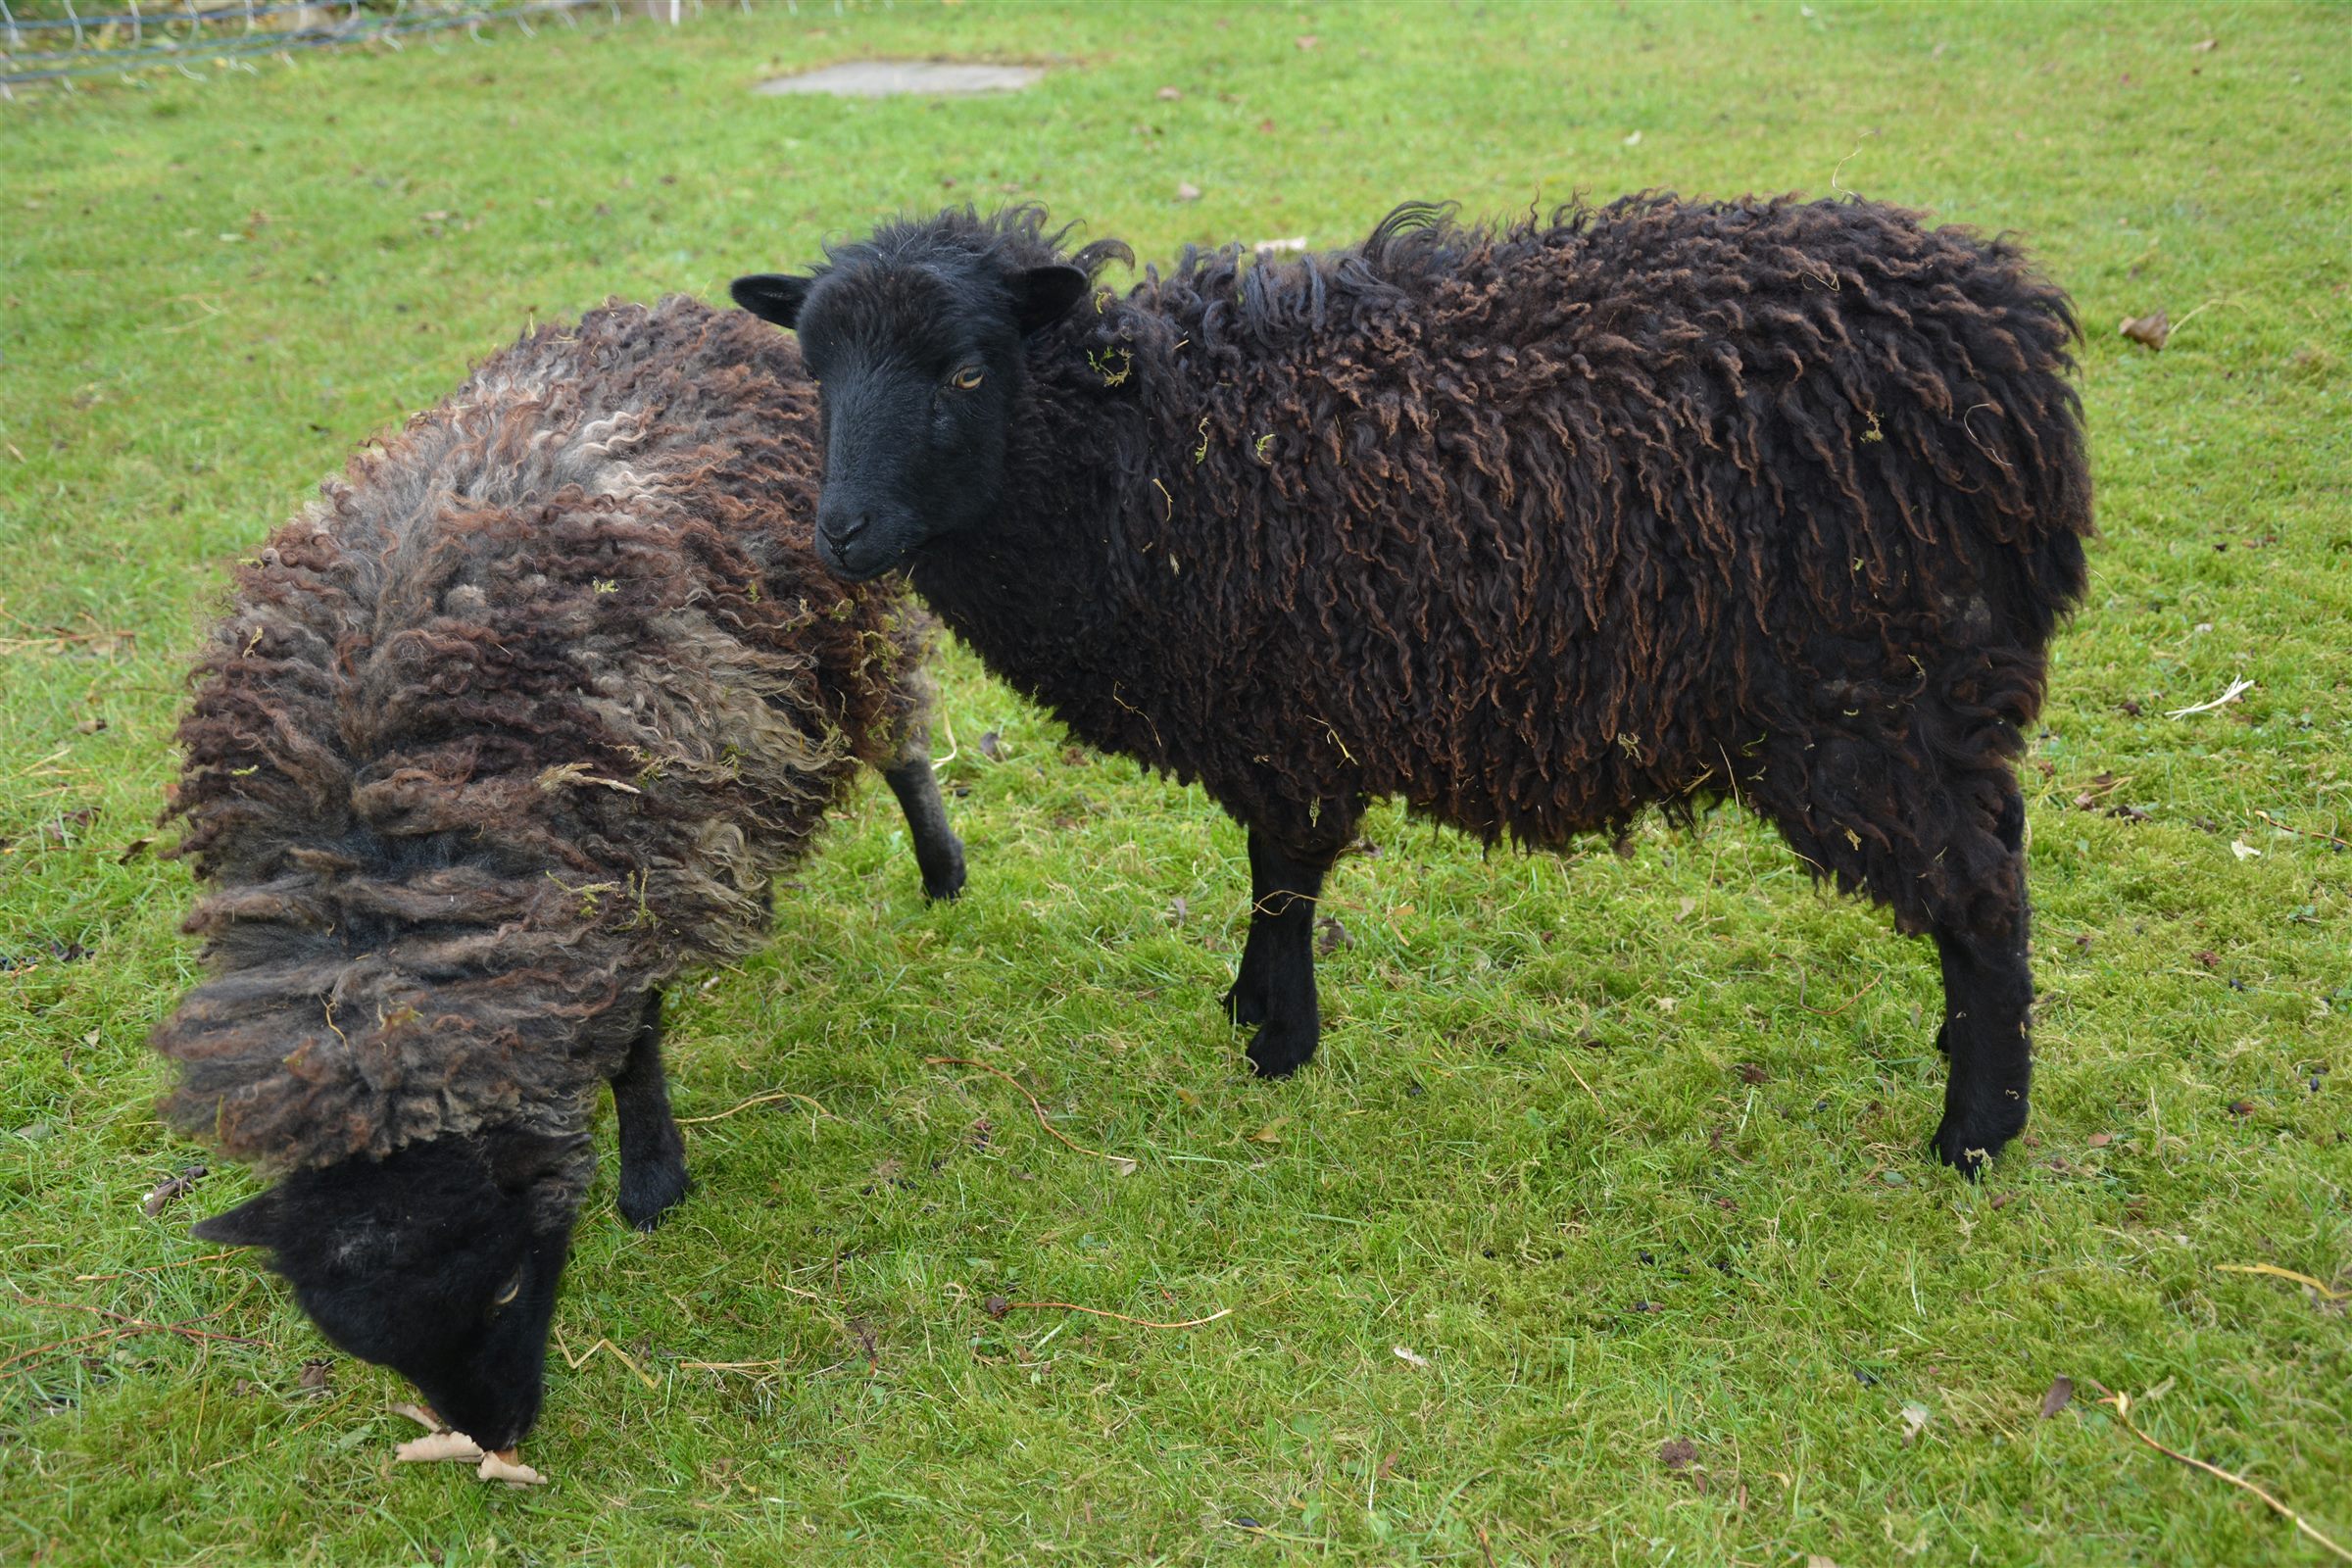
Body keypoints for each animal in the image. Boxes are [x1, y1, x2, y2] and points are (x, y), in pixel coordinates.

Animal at [152, 294, 965, 1463]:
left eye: (500, 1291)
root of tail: (684, 307)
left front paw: (653, 1181)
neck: (380, 904)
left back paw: (943, 872)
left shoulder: (621, 874)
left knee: (897, 738)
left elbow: (632, 1046)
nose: (496, 1434)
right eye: (365, 1349)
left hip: (840, 627)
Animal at [728, 195, 2092, 1176]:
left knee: (1981, 899)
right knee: (1999, 849)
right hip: (1941, 695)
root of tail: (2016, 360)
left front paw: (1277, 1039)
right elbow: (1270, 877)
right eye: (815, 372)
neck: (1138, 452)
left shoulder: (1283, 705)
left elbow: (1283, 874)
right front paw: (1251, 1011)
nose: (841, 535)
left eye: (965, 373)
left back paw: (1976, 1132)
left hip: (1868, 701)